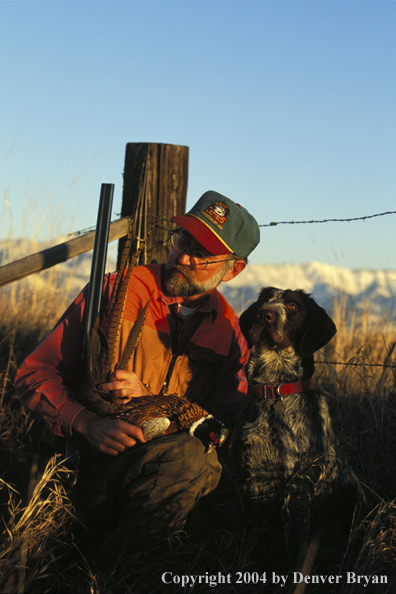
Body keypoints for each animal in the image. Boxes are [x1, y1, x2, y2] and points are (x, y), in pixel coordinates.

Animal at [232, 286, 366, 564]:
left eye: (293, 306)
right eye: (264, 301)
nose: (264, 315)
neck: (274, 389)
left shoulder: (298, 485)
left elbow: (295, 540)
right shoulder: (245, 476)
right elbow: (248, 530)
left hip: (348, 497)